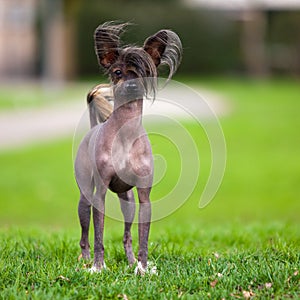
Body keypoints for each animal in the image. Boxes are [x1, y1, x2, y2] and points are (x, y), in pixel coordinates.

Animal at [75, 21, 183, 274]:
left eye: (144, 72)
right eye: (117, 72)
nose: (132, 84)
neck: (125, 134)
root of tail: (94, 128)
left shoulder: (144, 198)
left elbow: (143, 237)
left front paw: (142, 269)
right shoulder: (100, 194)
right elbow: (99, 236)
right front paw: (98, 266)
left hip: (129, 202)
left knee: (127, 235)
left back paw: (131, 260)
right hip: (85, 198)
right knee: (85, 235)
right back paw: (86, 260)